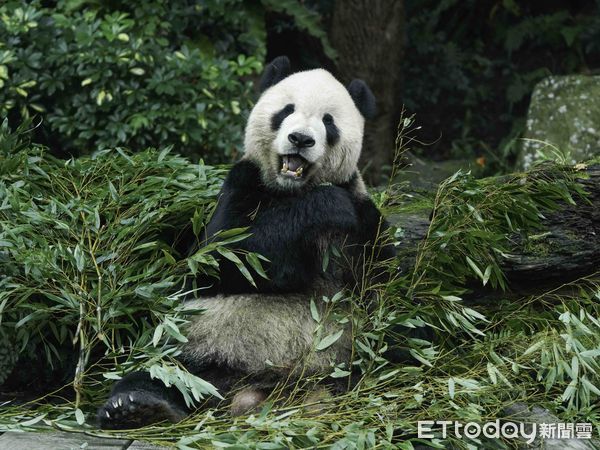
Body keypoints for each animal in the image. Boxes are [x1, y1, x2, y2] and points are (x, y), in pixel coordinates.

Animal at [98, 56, 396, 428]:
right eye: (286, 110)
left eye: (328, 121)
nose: (300, 139)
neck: (291, 190)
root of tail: (258, 394)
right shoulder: (242, 185)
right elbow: (223, 259)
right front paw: (325, 206)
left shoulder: (364, 217)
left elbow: (382, 286)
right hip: (197, 346)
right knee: (164, 371)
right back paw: (136, 405)